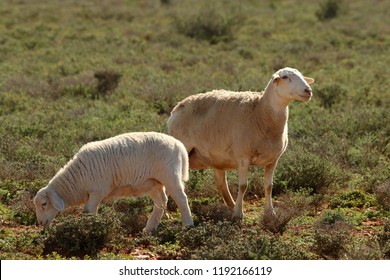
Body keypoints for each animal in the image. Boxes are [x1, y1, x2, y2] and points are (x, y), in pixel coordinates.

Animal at [32, 132, 194, 233]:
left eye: (44, 204)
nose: (40, 223)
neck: (78, 180)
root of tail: (178, 144)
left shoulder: (97, 190)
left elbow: (88, 211)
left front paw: (88, 229)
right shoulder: (94, 194)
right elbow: (92, 211)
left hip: (170, 175)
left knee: (181, 198)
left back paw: (188, 225)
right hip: (153, 183)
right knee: (161, 201)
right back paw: (149, 229)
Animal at [168, 67, 314, 219]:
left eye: (302, 75)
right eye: (285, 77)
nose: (308, 91)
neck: (261, 112)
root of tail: (176, 109)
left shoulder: (273, 160)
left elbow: (269, 186)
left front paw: (270, 212)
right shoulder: (243, 157)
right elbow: (243, 186)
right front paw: (239, 214)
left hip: (216, 158)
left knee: (221, 183)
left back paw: (231, 205)